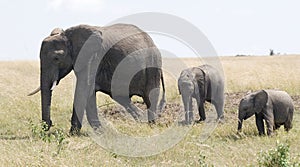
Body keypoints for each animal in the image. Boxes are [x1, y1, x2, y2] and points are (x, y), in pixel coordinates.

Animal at [29, 23, 165, 134]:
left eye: (56, 58)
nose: (49, 125)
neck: (68, 36)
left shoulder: (93, 57)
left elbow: (83, 88)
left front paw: (73, 133)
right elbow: (89, 92)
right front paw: (100, 131)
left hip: (153, 63)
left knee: (150, 96)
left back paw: (151, 126)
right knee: (120, 96)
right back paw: (141, 120)